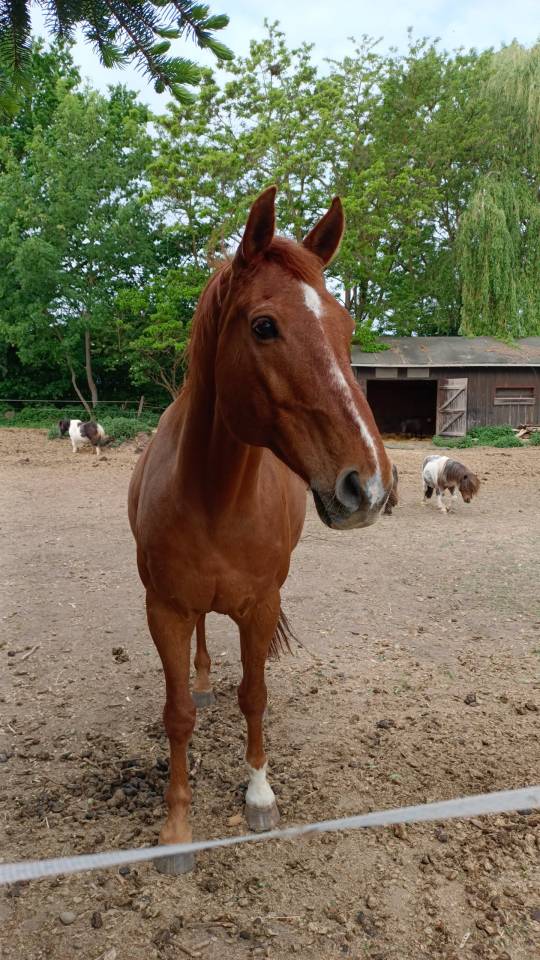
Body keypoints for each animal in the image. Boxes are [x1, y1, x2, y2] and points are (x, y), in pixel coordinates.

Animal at [128, 186, 393, 874]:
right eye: (265, 326)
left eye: (345, 327)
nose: (369, 486)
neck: (217, 498)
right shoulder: (164, 608)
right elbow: (178, 714)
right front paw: (177, 828)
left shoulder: (261, 606)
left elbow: (255, 695)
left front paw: (260, 794)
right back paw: (201, 678)